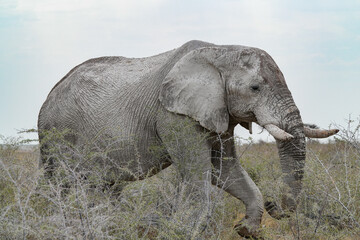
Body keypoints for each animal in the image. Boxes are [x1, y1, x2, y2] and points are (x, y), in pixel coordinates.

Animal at [37, 39, 338, 238]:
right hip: (57, 135)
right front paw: (186, 231)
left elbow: (222, 169)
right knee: (63, 185)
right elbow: (199, 172)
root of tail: (47, 97)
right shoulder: (173, 115)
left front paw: (245, 230)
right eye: (255, 88)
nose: (275, 205)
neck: (220, 50)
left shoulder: (218, 112)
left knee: (104, 186)